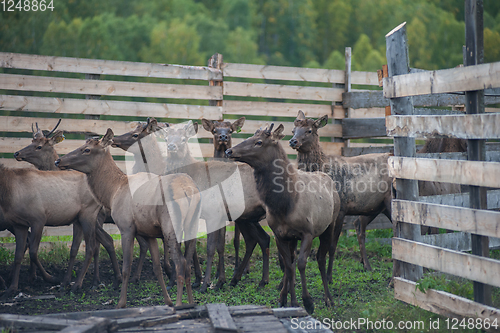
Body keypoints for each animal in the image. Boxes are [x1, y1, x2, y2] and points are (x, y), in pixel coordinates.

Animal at [55, 128, 201, 308]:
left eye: (87, 150)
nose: (59, 160)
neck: (112, 192)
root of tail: (189, 190)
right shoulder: (149, 232)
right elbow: (157, 268)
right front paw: (167, 301)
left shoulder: (126, 227)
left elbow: (126, 268)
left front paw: (121, 302)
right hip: (192, 225)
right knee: (188, 263)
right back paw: (191, 302)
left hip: (171, 226)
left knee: (180, 262)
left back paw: (180, 303)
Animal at [160, 121, 270, 290]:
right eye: (166, 138)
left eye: (184, 139)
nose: (172, 146)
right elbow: (189, 244)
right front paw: (194, 280)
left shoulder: (213, 213)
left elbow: (211, 247)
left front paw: (206, 283)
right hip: (248, 218)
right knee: (261, 239)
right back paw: (255, 280)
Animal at [226, 123, 340, 312]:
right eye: (250, 136)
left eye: (259, 142)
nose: (229, 151)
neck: (285, 204)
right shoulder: (280, 235)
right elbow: (288, 265)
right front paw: (290, 301)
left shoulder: (308, 232)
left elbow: (301, 263)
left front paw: (308, 302)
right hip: (292, 238)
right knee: (291, 263)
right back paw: (285, 297)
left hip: (330, 225)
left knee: (321, 259)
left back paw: (329, 299)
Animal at [290, 110, 394, 272]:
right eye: (293, 130)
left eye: (309, 130)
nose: (293, 141)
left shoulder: (341, 208)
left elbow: (332, 246)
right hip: (375, 206)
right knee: (360, 225)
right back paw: (367, 265)